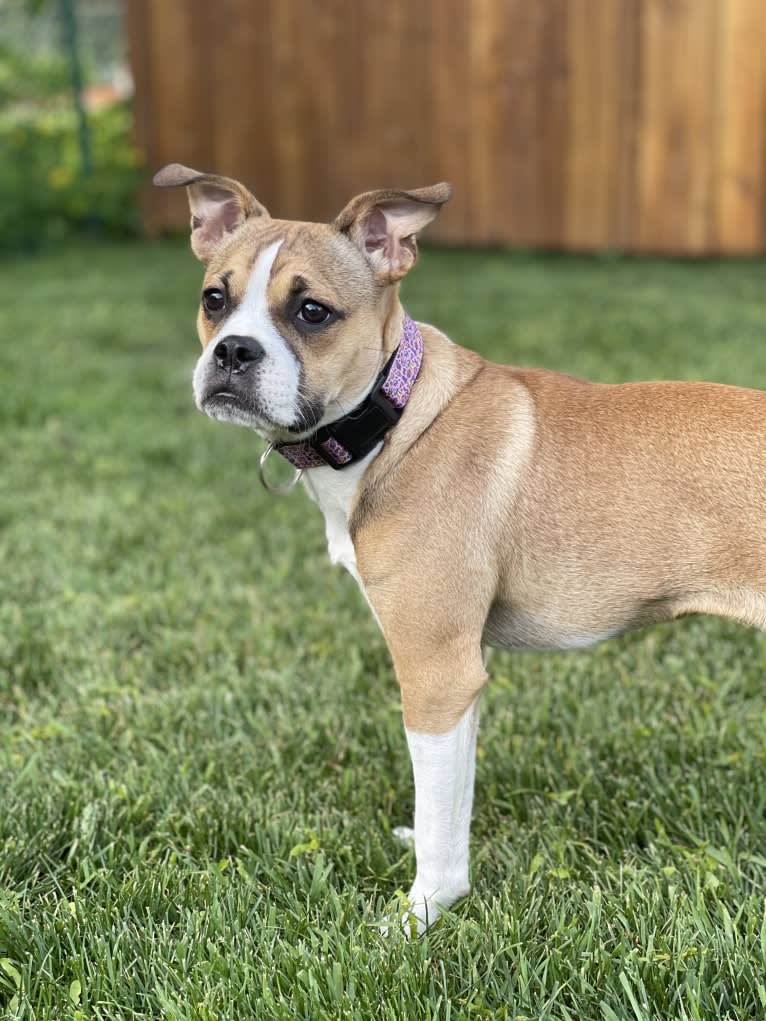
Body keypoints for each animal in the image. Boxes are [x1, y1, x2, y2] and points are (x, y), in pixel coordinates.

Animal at [154, 165, 766, 935]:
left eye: (313, 312)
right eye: (215, 298)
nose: (233, 351)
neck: (397, 415)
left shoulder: (436, 673)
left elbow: (440, 822)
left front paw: (422, 912)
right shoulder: (461, 682)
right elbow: (451, 802)